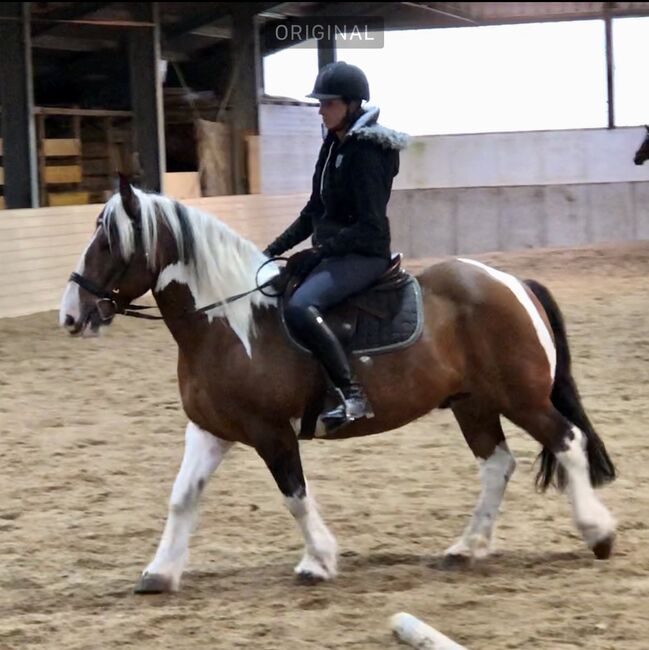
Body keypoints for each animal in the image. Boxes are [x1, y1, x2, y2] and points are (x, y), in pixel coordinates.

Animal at [60, 178, 616, 592]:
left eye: (109, 241)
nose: (71, 314)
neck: (227, 322)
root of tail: (513, 283)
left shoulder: (271, 432)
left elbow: (294, 495)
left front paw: (319, 561)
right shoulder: (210, 430)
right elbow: (182, 497)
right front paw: (159, 573)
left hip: (521, 399)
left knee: (567, 441)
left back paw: (599, 533)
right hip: (472, 404)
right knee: (498, 464)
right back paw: (466, 547)